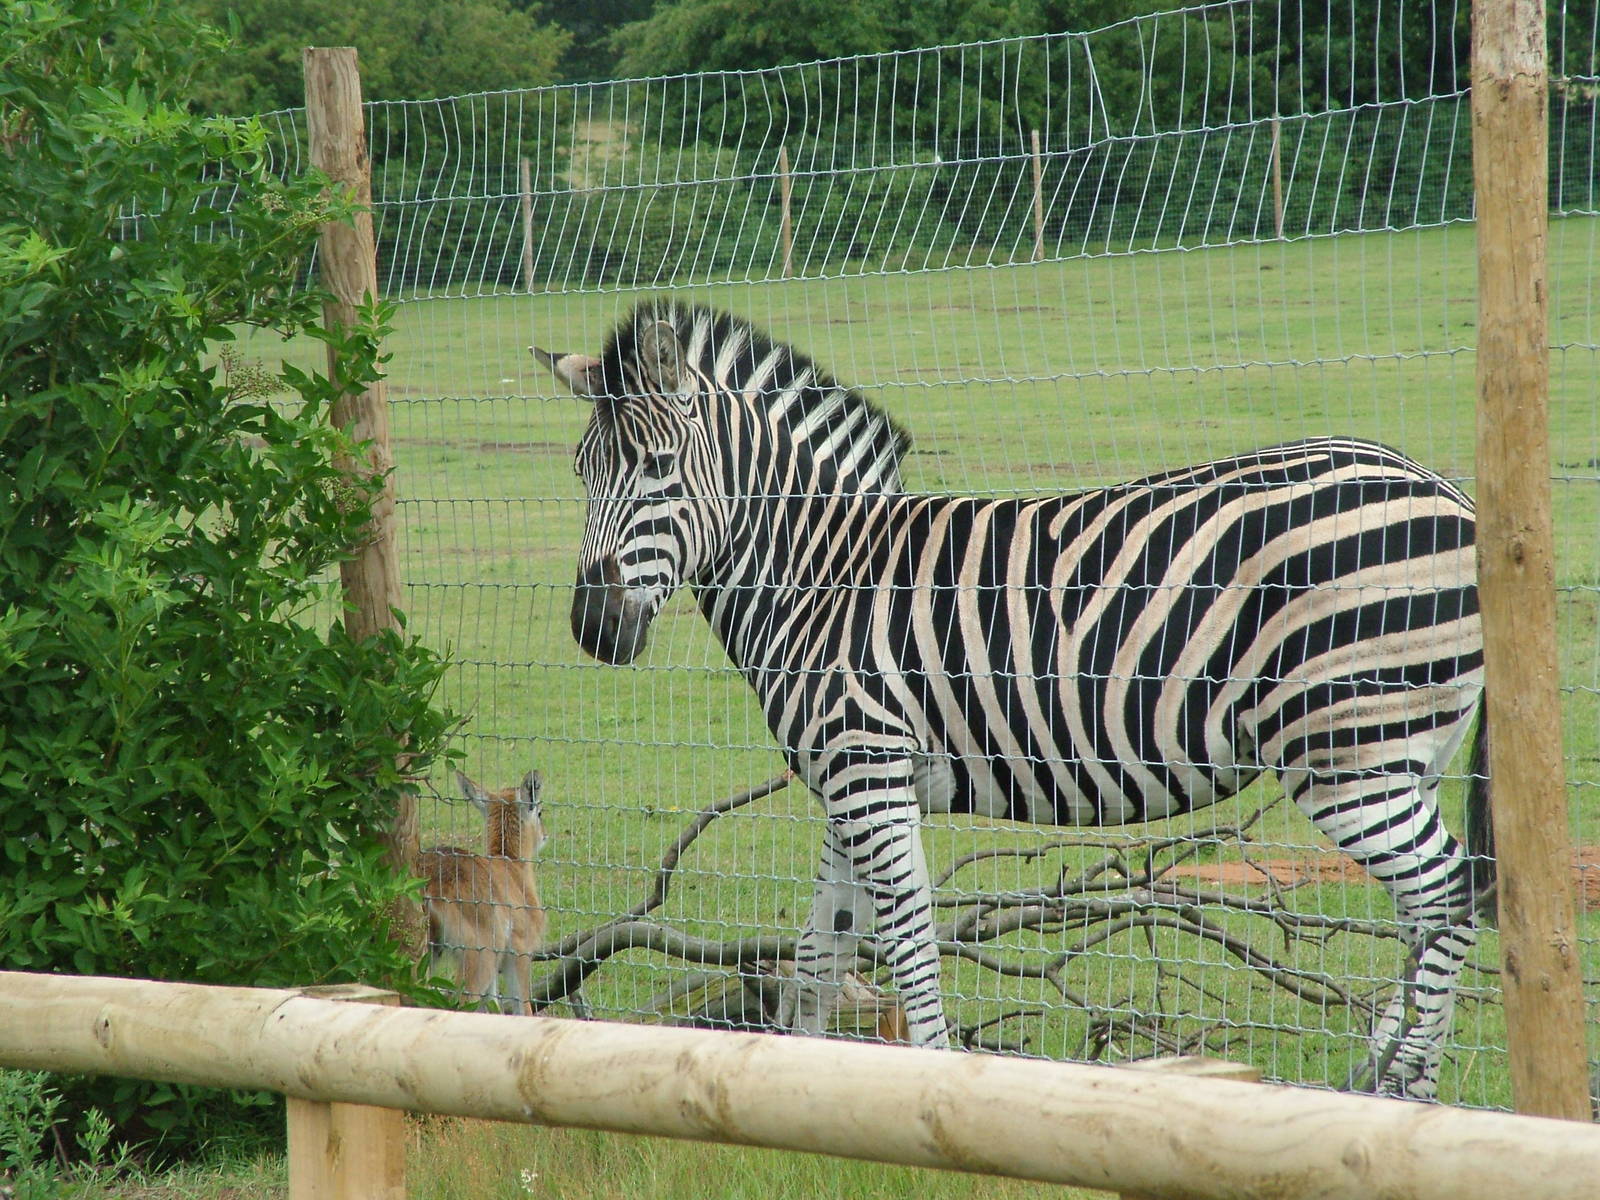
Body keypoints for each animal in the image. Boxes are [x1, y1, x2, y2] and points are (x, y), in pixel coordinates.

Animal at [538, 299, 1490, 1100]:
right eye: (582, 470)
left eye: (659, 469)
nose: (592, 629)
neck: (822, 573)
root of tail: (1444, 489)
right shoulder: (846, 782)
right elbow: (818, 953)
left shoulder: (868, 773)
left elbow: (907, 940)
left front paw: (931, 1088)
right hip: (1406, 749)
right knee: (1426, 906)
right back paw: (1382, 1080)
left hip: (1346, 750)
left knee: (1449, 887)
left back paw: (1409, 1090)